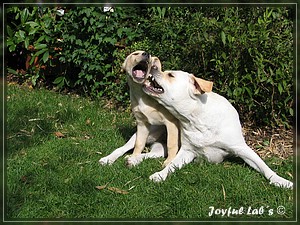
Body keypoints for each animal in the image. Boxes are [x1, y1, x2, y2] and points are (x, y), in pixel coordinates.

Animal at [143, 66, 292, 189]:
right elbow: (172, 164)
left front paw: (281, 180)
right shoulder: (187, 151)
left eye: (170, 75)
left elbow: (264, 166)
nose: (153, 66)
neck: (196, 119)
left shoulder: (241, 148)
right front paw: (160, 174)